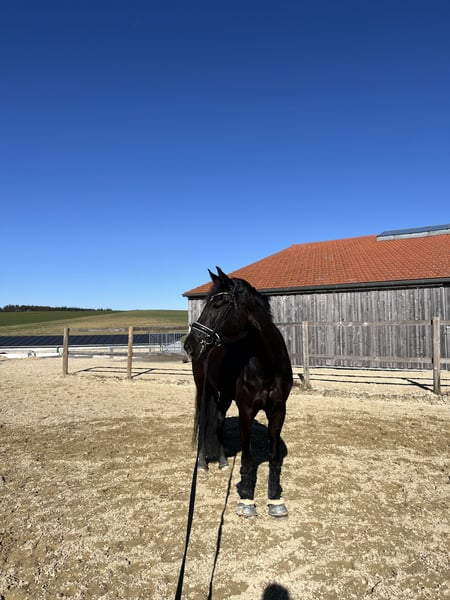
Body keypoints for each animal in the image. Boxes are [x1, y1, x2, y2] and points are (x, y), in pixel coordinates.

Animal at [183, 267, 293, 518]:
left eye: (218, 304)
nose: (190, 344)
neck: (267, 364)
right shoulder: (246, 411)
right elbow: (248, 458)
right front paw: (246, 499)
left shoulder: (278, 410)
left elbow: (273, 457)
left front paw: (275, 499)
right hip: (204, 389)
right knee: (204, 422)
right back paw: (203, 463)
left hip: (224, 395)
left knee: (218, 421)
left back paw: (223, 461)